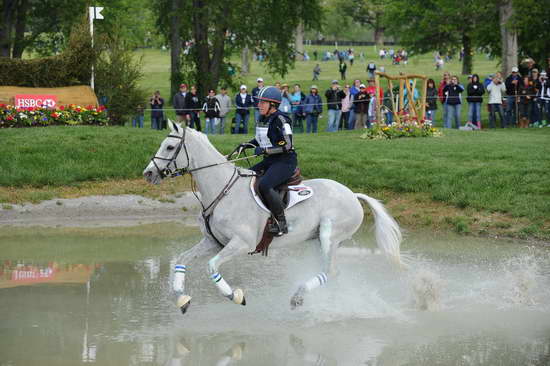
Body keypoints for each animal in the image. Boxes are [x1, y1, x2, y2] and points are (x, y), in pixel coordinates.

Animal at [144, 121, 404, 314]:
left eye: (169, 147)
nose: (148, 173)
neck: (223, 190)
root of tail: (352, 194)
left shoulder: (241, 244)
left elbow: (211, 267)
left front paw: (235, 295)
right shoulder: (213, 242)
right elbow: (182, 260)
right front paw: (182, 298)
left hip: (330, 235)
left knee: (331, 271)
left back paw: (298, 297)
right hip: (317, 240)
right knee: (330, 271)